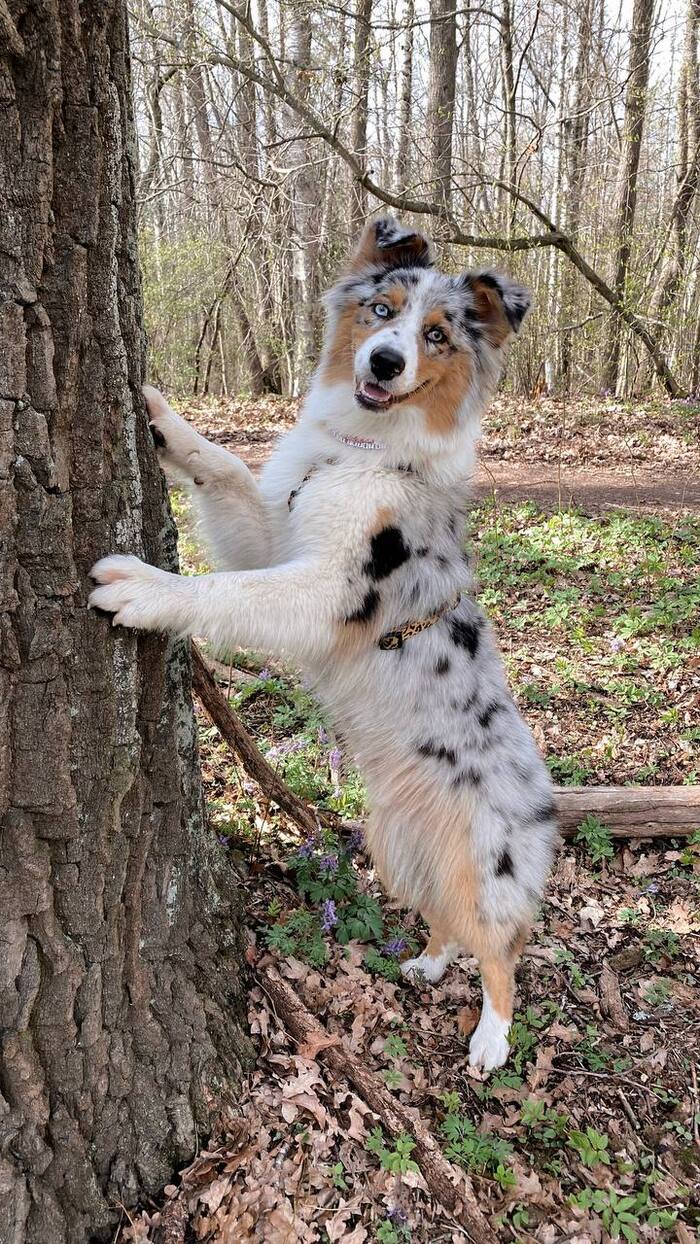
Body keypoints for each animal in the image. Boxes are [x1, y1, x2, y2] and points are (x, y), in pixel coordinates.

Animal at [88, 213, 559, 1069]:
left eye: (437, 336)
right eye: (381, 312)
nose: (384, 362)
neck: (361, 450)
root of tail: (549, 804)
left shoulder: (325, 589)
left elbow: (229, 592)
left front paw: (144, 586)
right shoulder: (274, 531)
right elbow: (227, 470)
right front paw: (165, 423)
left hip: (484, 862)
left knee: (504, 947)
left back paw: (491, 1039)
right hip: (402, 845)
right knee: (451, 923)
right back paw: (429, 962)